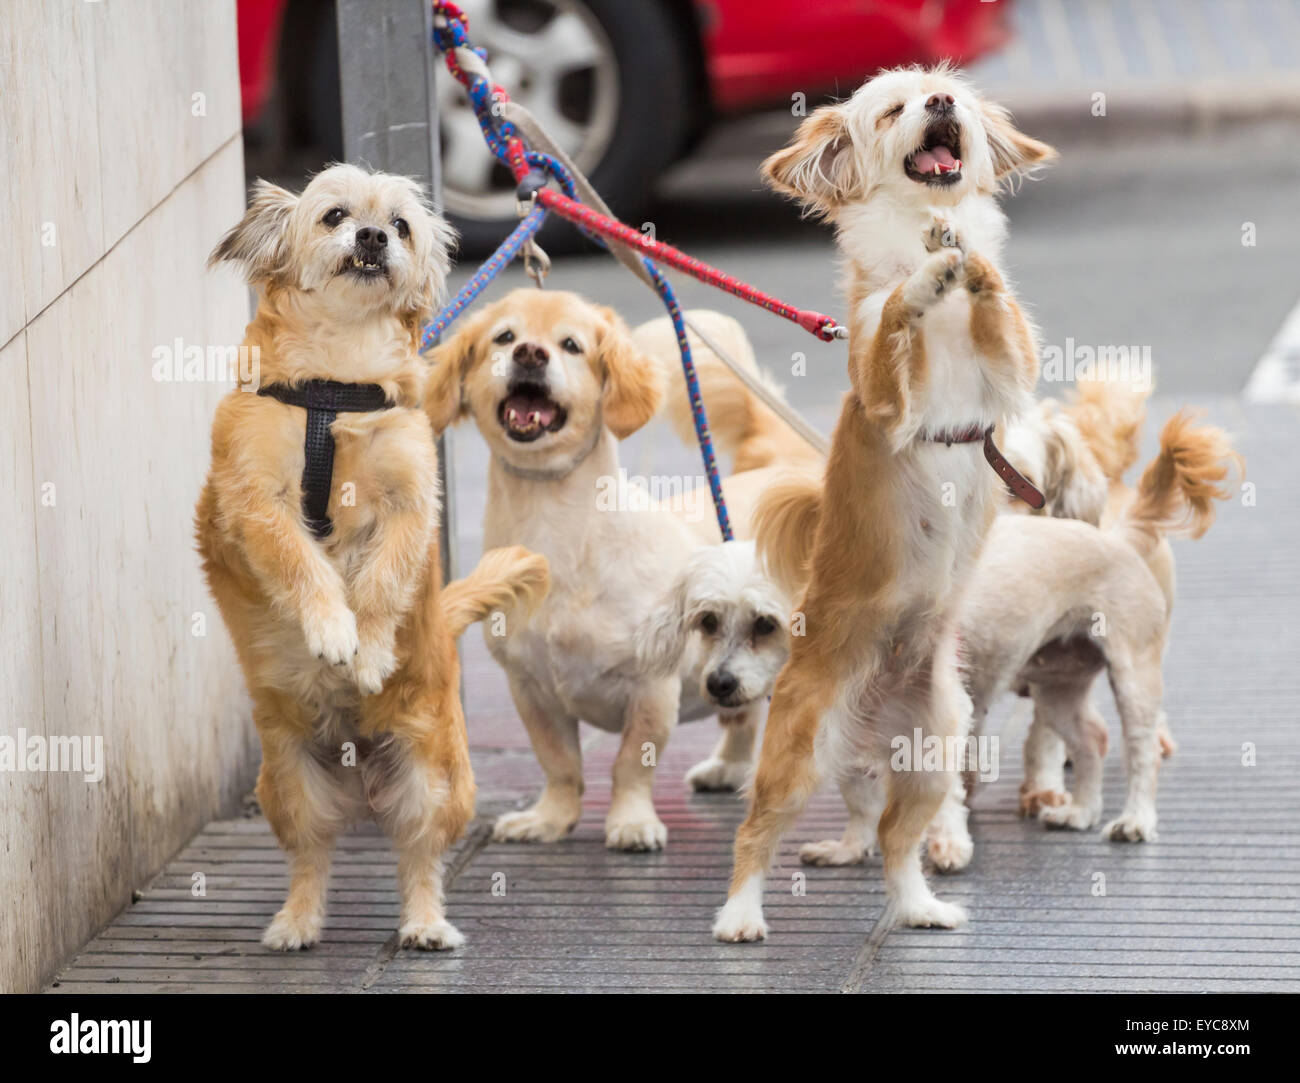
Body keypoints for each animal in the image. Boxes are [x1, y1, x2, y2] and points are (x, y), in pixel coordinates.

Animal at [193, 165, 548, 951]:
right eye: (333, 216)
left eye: (402, 226)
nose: (373, 238)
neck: (338, 383)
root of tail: (359, 780)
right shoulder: (254, 503)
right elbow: (303, 563)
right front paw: (332, 629)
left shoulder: (411, 504)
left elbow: (383, 581)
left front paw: (371, 649)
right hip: (290, 786)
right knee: (311, 858)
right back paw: (296, 921)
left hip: (433, 783)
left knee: (419, 858)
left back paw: (425, 924)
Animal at [426, 291, 795, 847]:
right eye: (504, 337)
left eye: (571, 345)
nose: (530, 353)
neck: (554, 527)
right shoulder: (530, 689)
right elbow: (559, 763)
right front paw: (550, 819)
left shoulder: (652, 688)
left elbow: (629, 766)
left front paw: (631, 822)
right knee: (744, 712)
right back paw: (728, 767)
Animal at [707, 63, 1050, 936]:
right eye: (895, 109)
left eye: (950, 99)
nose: (940, 101)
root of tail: (870, 721)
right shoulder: (889, 398)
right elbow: (896, 311)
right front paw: (925, 277)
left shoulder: (1012, 375)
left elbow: (1001, 312)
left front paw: (967, 259)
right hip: (797, 753)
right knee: (756, 834)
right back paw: (740, 915)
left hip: (934, 752)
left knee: (899, 841)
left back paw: (921, 905)